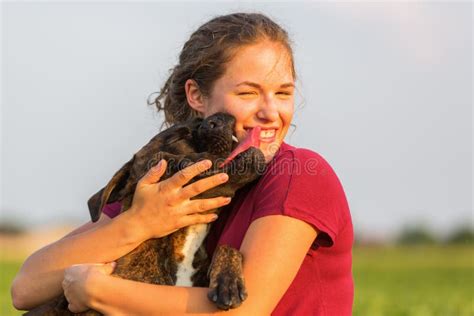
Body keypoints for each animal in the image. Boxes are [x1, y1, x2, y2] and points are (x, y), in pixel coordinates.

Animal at [25, 112, 266, 314]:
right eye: (177, 140)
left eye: (200, 121)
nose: (217, 117)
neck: (182, 242)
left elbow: (227, 247)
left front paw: (228, 280)